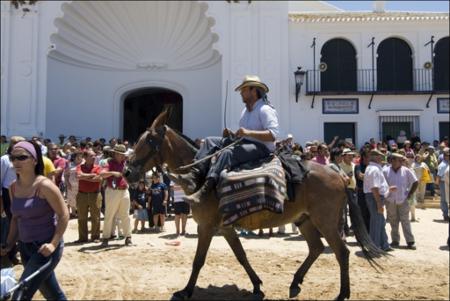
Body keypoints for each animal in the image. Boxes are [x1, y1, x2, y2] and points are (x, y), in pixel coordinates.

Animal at [125, 110, 384, 300]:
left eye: (149, 140)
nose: (127, 172)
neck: (201, 173)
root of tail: (339, 175)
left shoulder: (207, 226)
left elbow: (199, 260)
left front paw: (186, 291)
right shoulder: (226, 227)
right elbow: (241, 256)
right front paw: (257, 285)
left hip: (326, 221)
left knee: (341, 252)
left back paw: (342, 294)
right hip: (305, 220)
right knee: (316, 248)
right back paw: (295, 283)